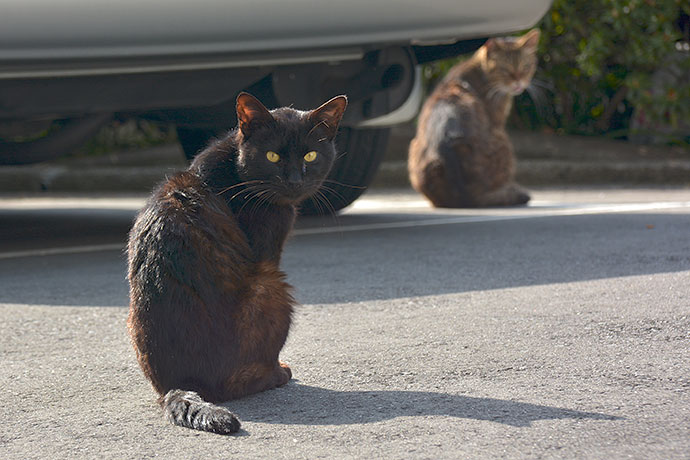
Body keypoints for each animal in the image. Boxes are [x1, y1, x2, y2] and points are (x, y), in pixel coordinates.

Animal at [125, 92, 344, 434]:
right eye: (272, 156)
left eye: (310, 156)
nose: (294, 180)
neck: (233, 170)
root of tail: (178, 384)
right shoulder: (268, 249)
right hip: (271, 285)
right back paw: (277, 373)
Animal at [408, 29, 536, 208]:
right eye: (504, 69)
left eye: (526, 67)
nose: (518, 82)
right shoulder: (498, 122)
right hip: (503, 141)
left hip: (414, 149)